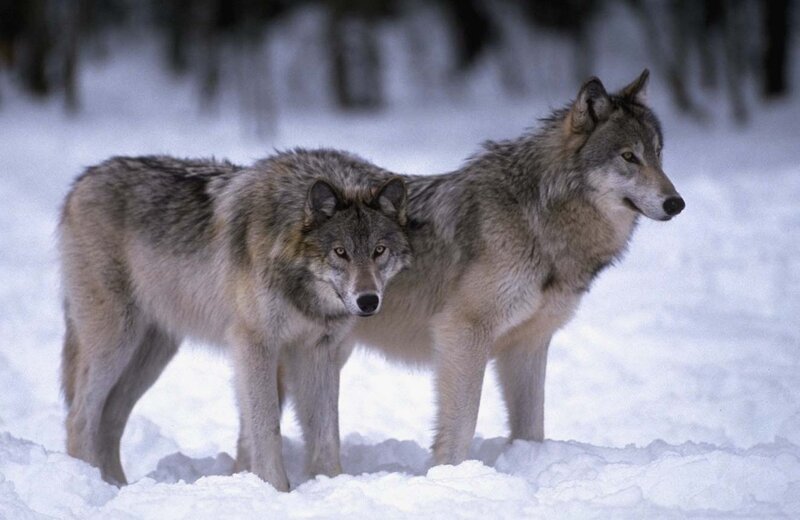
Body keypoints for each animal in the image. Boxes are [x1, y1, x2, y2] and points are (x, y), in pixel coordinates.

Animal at [59, 149, 411, 491]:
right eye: (340, 252)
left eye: (379, 250)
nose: (368, 301)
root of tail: (82, 181)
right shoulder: (255, 344)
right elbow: (266, 427)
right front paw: (276, 489)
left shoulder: (318, 351)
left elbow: (326, 433)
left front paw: (331, 484)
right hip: (117, 342)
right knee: (79, 417)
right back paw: (95, 483)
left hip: (152, 356)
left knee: (110, 419)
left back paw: (117, 485)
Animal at [331, 69, 684, 466]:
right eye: (629, 157)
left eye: (658, 154)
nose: (676, 203)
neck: (538, 221)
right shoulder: (463, 332)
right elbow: (461, 426)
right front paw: (448, 473)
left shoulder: (528, 344)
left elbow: (532, 428)